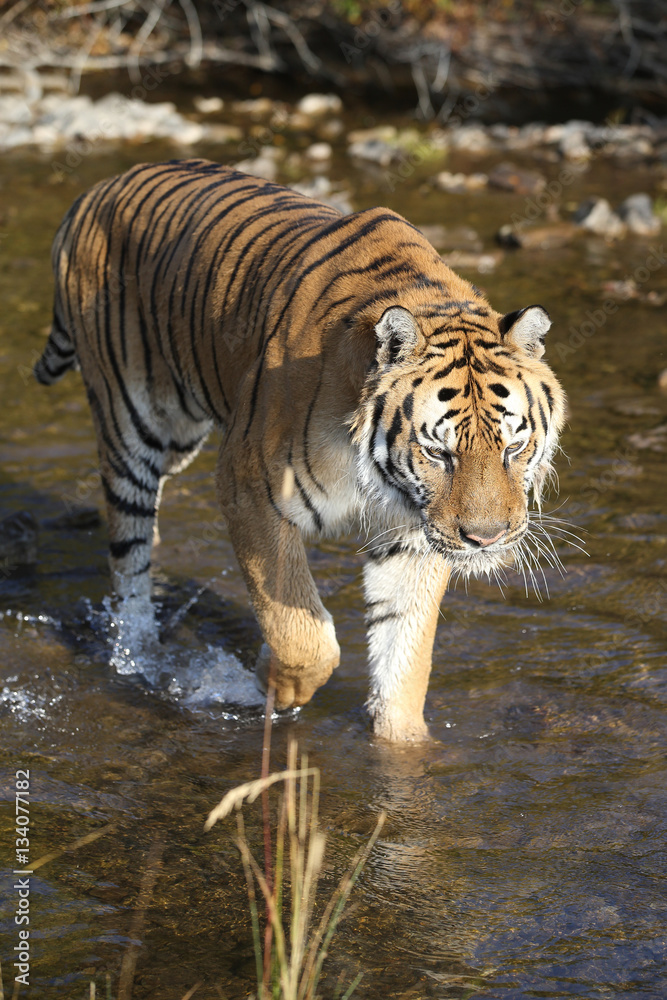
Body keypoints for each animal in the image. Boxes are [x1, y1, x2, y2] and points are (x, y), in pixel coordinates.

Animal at [35, 158, 568, 744]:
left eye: (514, 446)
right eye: (438, 453)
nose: (486, 539)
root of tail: (97, 189)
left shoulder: (411, 534)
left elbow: (402, 663)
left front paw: (405, 746)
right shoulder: (248, 487)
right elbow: (300, 632)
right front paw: (271, 683)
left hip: (179, 438)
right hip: (132, 426)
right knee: (127, 562)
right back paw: (139, 654)